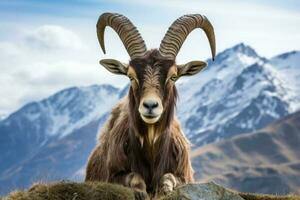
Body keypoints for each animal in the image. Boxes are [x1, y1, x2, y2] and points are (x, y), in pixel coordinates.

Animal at [85, 13, 216, 199]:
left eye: (173, 76)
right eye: (130, 76)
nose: (150, 105)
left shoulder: (184, 175)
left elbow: (169, 177)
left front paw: (164, 189)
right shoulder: (112, 176)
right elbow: (134, 177)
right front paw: (142, 192)